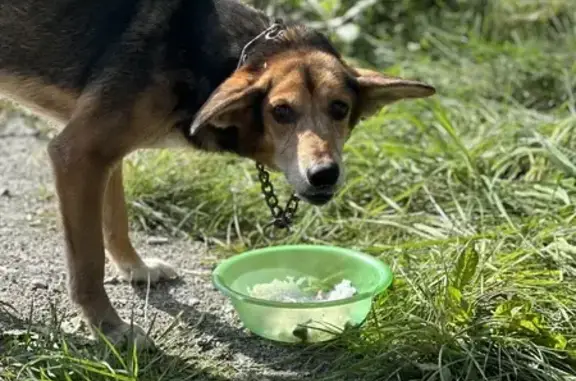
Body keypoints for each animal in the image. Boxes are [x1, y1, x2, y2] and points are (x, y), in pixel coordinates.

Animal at [0, 0, 432, 346]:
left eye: (340, 108)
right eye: (281, 111)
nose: (324, 174)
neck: (201, 52)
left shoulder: (105, 155)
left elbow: (116, 220)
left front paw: (136, 269)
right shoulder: (78, 155)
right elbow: (88, 264)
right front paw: (110, 329)